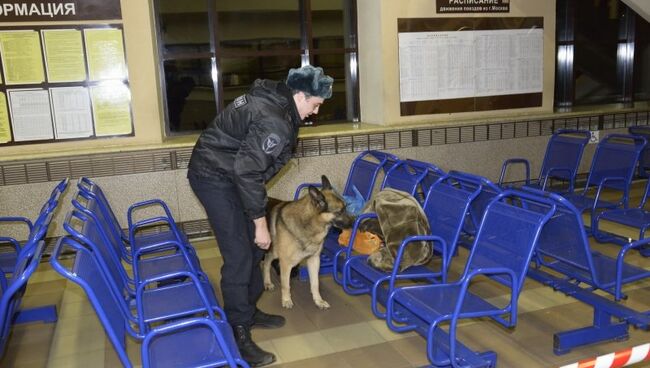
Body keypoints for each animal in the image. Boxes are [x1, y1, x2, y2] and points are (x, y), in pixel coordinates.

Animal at [262, 177, 352, 310]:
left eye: (346, 207)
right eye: (339, 212)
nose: (355, 222)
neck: (309, 223)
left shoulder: (314, 260)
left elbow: (315, 284)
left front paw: (318, 301)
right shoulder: (285, 263)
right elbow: (286, 285)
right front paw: (286, 300)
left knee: (267, 260)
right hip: (275, 252)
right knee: (267, 261)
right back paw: (267, 282)